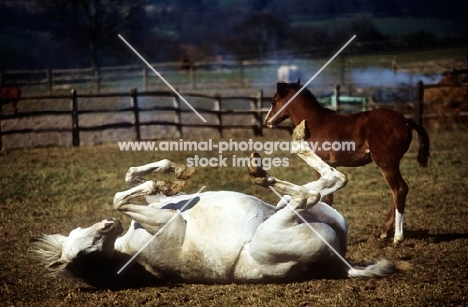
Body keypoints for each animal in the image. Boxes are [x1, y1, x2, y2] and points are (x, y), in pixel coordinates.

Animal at [30, 122, 406, 288]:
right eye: (86, 252)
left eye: (84, 239)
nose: (109, 226)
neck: (126, 248)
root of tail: (341, 263)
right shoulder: (165, 223)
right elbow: (121, 199)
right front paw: (161, 179)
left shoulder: (160, 207)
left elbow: (136, 184)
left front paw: (170, 175)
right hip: (281, 228)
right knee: (315, 189)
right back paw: (272, 163)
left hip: (318, 213)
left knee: (312, 187)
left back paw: (273, 163)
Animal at [266, 80, 430, 245]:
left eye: (273, 101)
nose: (267, 121)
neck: (314, 122)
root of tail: (404, 121)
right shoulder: (332, 166)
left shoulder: (322, 166)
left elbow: (326, 197)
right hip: (391, 164)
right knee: (399, 190)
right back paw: (384, 232)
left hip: (386, 163)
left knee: (399, 189)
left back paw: (397, 237)